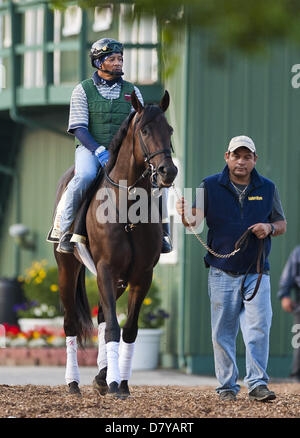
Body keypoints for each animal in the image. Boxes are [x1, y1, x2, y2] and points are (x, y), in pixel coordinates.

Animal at [53, 90, 178, 398]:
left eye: (169, 130)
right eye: (145, 130)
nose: (168, 171)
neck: (127, 208)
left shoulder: (142, 276)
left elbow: (128, 329)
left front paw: (119, 382)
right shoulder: (106, 269)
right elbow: (113, 328)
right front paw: (113, 384)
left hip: (119, 280)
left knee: (101, 317)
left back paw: (101, 374)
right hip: (67, 270)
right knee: (71, 323)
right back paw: (73, 382)